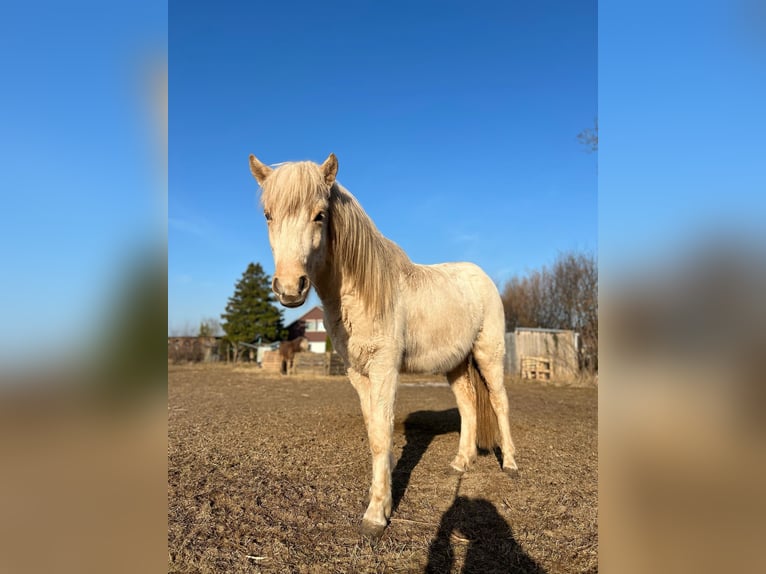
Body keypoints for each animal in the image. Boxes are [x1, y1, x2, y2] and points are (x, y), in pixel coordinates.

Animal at [249, 152, 518, 538]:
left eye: (320, 215)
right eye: (268, 215)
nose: (289, 288)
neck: (363, 292)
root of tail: (482, 278)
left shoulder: (385, 369)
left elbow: (383, 432)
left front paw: (377, 514)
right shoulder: (358, 373)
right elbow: (374, 433)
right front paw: (381, 496)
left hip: (488, 355)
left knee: (499, 403)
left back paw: (509, 463)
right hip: (455, 364)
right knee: (468, 406)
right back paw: (460, 462)